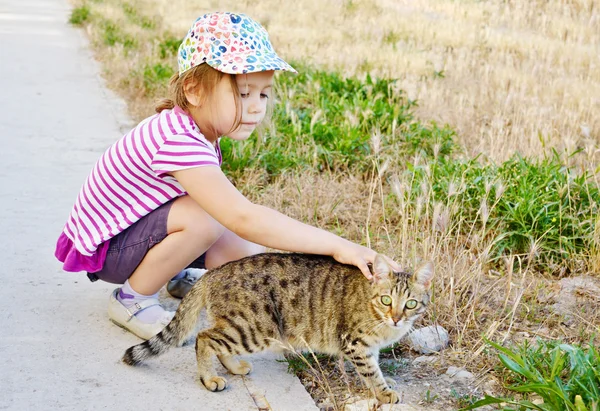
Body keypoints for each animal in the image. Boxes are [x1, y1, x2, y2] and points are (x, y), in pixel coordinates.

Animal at [122, 253, 432, 404]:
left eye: (411, 303)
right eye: (386, 300)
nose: (396, 318)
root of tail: (213, 272)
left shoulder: (369, 346)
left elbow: (376, 365)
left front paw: (385, 383)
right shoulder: (356, 343)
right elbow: (370, 371)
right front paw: (383, 392)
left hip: (242, 326)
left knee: (215, 340)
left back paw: (234, 367)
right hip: (255, 328)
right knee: (204, 337)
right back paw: (210, 378)